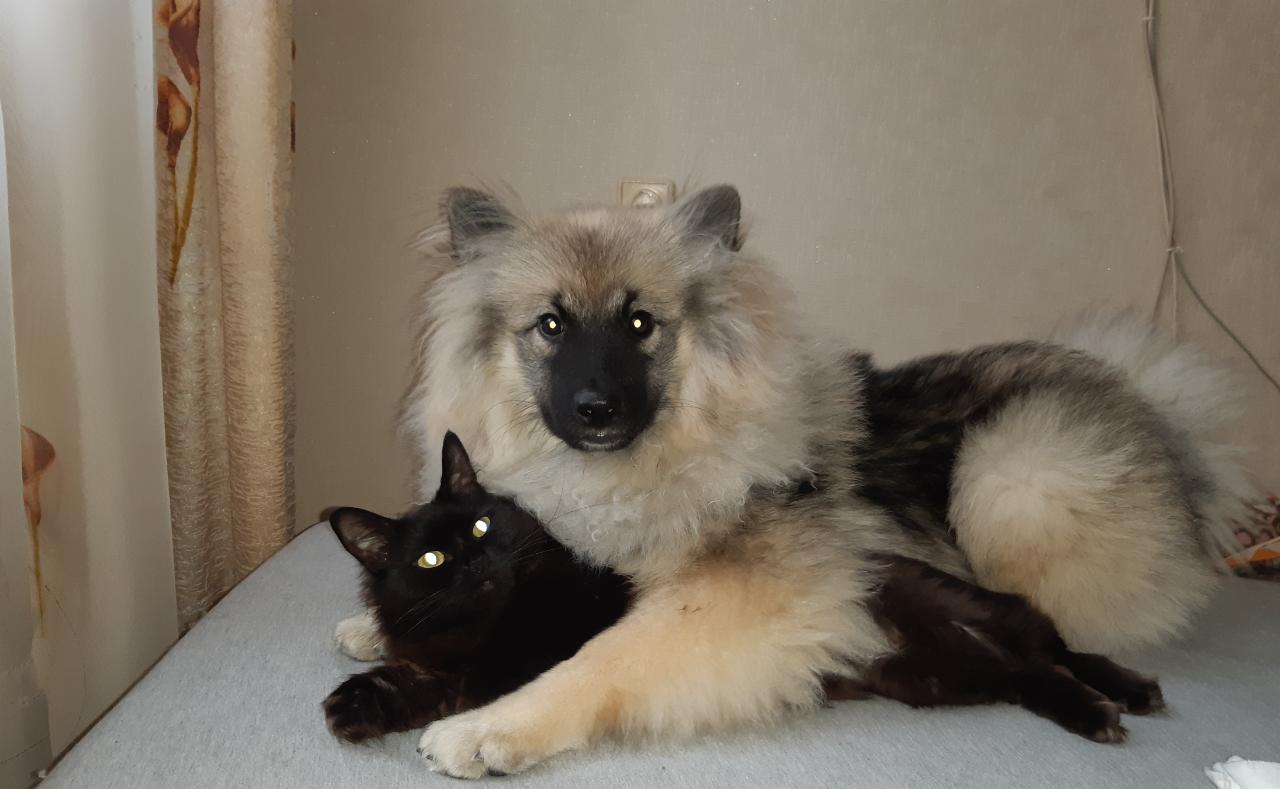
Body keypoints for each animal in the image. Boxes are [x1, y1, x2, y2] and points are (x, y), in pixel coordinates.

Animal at [323, 432, 632, 743]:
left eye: (480, 527)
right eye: (430, 559)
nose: (475, 562)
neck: (487, 620)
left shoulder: (497, 669)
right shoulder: (442, 662)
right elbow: (411, 682)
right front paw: (351, 706)